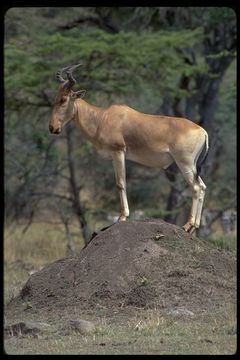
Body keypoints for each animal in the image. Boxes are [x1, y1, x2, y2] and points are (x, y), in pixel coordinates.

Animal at [48, 63, 208, 235]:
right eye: (55, 98)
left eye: (64, 99)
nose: (53, 128)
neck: (103, 117)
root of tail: (202, 130)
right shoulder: (114, 156)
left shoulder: (118, 152)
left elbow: (120, 183)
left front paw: (122, 217)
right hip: (192, 166)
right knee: (202, 187)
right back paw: (194, 226)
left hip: (184, 163)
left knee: (196, 187)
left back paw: (187, 225)